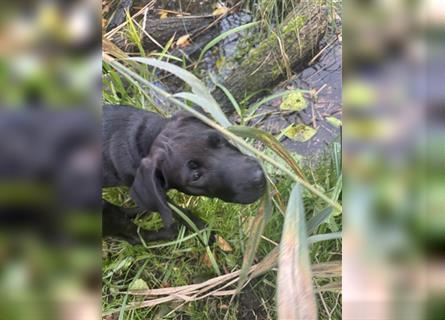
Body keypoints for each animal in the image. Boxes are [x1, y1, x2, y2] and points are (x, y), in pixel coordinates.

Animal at [102, 105, 266, 242]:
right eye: (196, 177)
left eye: (218, 139)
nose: (259, 177)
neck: (148, 137)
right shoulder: (159, 195)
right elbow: (181, 213)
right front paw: (203, 231)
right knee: (136, 237)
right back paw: (171, 232)